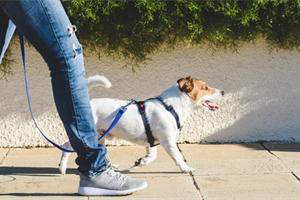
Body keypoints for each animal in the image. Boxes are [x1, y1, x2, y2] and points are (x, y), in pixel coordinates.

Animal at [58, 75, 224, 173]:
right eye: (205, 88)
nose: (223, 92)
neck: (170, 106)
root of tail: (88, 104)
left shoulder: (152, 141)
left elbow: (152, 156)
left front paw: (142, 161)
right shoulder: (168, 141)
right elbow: (178, 156)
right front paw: (186, 168)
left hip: (100, 136)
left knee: (101, 152)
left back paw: (112, 167)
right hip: (86, 135)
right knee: (66, 147)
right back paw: (62, 167)